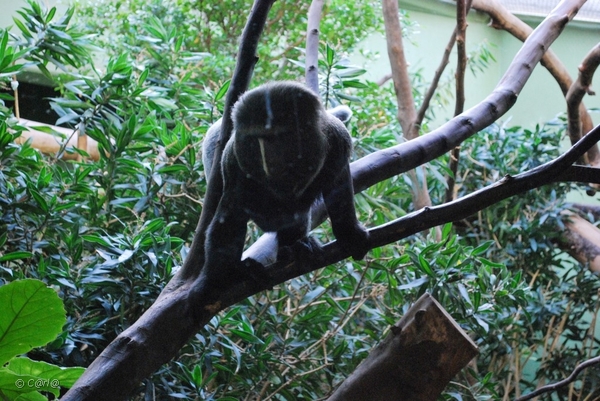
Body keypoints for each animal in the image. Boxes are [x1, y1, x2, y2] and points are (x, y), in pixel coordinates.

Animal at [202, 81, 370, 286]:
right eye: (253, 140)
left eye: (276, 137)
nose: (265, 159)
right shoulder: (234, 161)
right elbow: (231, 213)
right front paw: (228, 274)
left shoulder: (338, 140)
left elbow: (339, 188)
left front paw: (349, 233)